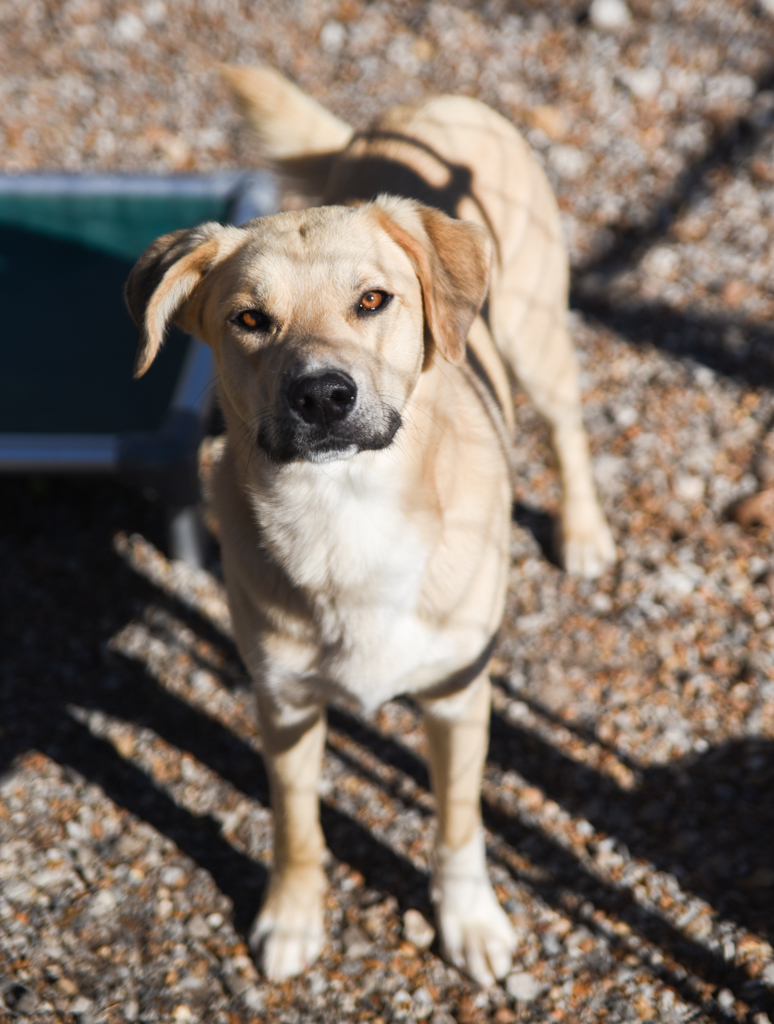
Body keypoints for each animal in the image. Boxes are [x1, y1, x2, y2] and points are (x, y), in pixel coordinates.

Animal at [123, 68, 614, 987]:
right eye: (249, 319)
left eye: (373, 301)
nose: (322, 395)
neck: (344, 513)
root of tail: (427, 105)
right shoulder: (281, 705)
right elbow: (296, 824)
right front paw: (290, 915)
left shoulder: (458, 696)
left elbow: (457, 827)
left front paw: (469, 921)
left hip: (535, 335)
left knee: (568, 424)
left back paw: (586, 532)